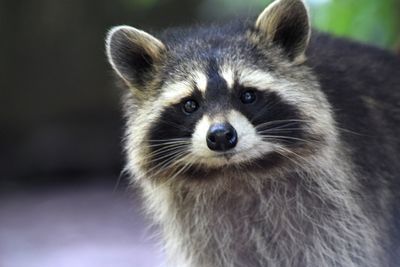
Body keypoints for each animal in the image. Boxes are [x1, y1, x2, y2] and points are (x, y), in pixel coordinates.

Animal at [104, 0, 398, 266]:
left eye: (247, 95)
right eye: (190, 105)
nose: (221, 136)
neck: (236, 172)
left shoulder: (336, 213)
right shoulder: (204, 233)